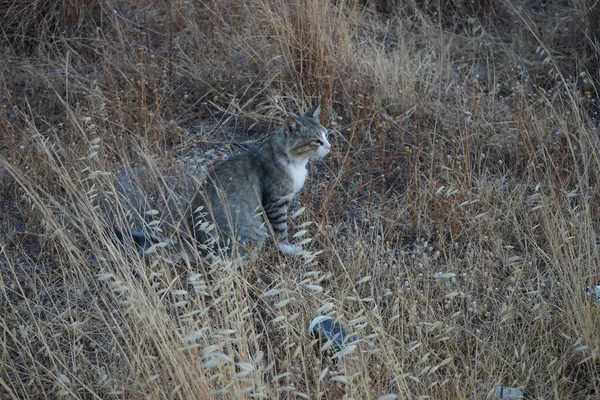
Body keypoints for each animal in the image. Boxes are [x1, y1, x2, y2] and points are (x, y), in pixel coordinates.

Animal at [186, 104, 330, 258]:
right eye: (317, 141)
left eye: (326, 135)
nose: (329, 146)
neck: (295, 162)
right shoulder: (276, 202)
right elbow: (280, 229)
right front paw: (287, 248)